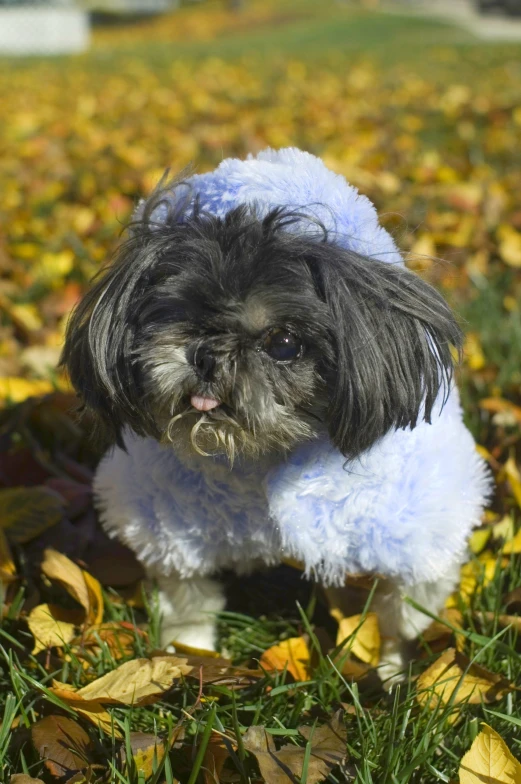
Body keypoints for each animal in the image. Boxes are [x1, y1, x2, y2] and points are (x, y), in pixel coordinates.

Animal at [62, 147, 492, 680]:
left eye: (284, 343)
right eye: (171, 315)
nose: (206, 353)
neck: (259, 458)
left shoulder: (415, 535)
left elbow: (404, 617)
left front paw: (398, 672)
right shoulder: (172, 529)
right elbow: (189, 605)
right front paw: (186, 656)